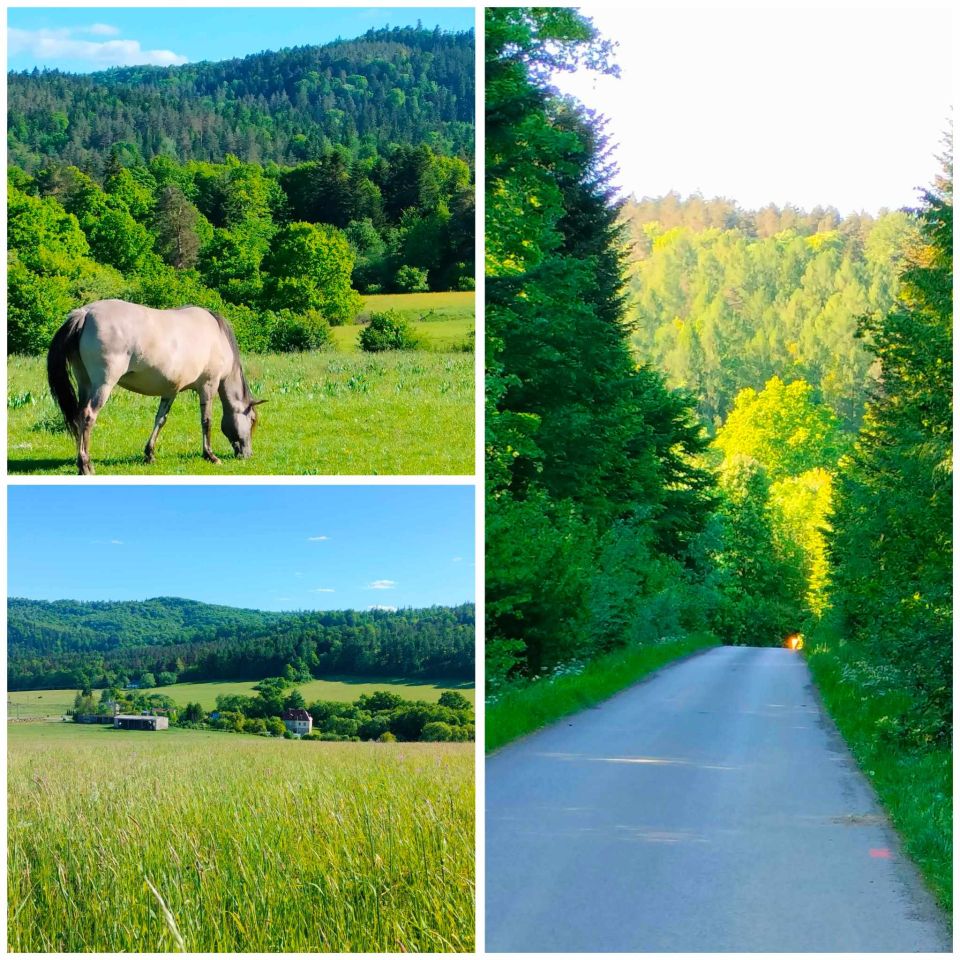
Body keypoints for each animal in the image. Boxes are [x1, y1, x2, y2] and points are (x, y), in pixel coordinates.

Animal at [46, 302, 266, 474]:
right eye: (252, 420)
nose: (247, 454)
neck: (217, 337)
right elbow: (206, 421)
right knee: (88, 416)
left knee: (78, 417)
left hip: (85, 383)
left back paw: (80, 462)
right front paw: (210, 455)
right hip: (103, 385)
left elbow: (160, 420)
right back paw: (86, 465)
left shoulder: (170, 391)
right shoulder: (208, 386)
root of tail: (85, 313)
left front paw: (149, 454)